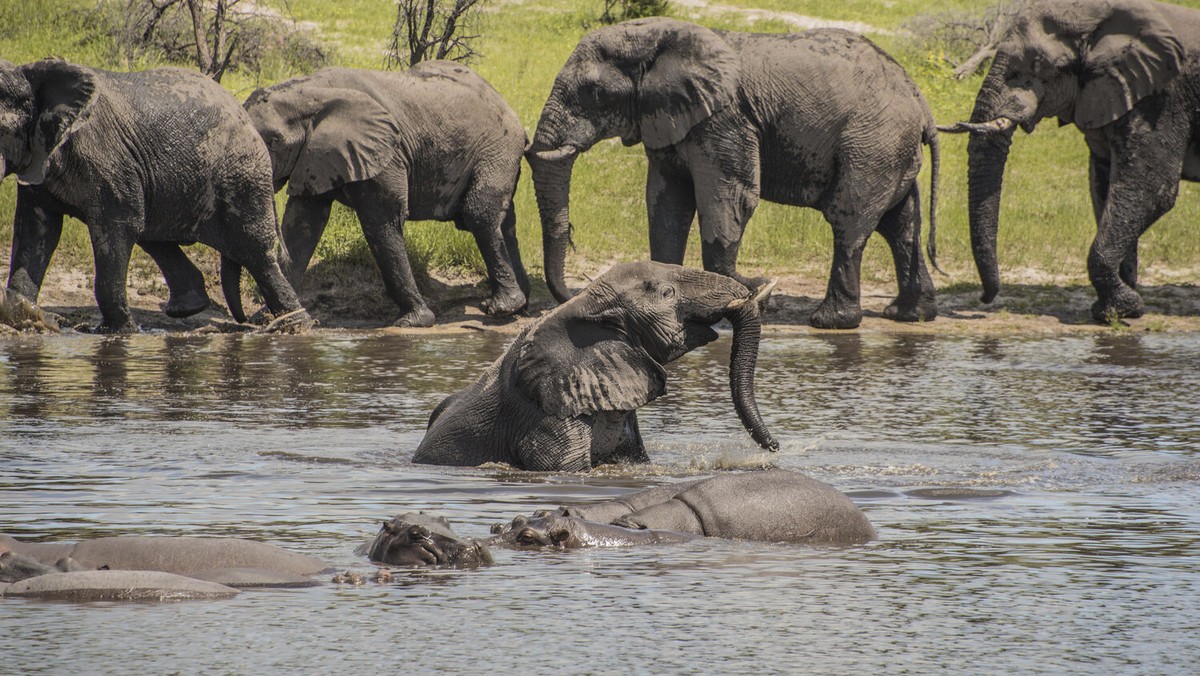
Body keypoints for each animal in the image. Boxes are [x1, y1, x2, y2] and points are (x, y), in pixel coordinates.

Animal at [0, 59, 309, 333]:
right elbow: (36, 232)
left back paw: (295, 326)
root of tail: (244, 115)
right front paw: (23, 318)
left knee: (256, 253)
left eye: (2, 131)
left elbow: (117, 227)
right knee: (155, 238)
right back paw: (188, 308)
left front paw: (117, 332)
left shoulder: (109, 163)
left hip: (243, 176)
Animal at [242, 61, 529, 327]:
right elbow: (301, 227)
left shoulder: (386, 152)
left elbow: (381, 223)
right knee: (505, 222)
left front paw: (414, 322)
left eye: (274, 142)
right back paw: (522, 307)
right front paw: (271, 320)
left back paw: (503, 307)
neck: (311, 91)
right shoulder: (313, 157)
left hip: (498, 148)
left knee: (478, 214)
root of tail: (505, 103)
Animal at [527, 17, 941, 330]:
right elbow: (667, 202)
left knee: (849, 220)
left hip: (873, 145)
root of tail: (921, 101)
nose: (569, 296)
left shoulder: (725, 118)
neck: (663, 38)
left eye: (593, 93)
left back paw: (830, 322)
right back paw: (909, 315)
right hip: (891, 150)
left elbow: (729, 197)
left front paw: (740, 294)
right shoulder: (666, 119)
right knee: (901, 224)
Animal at [940, 0, 1200, 322]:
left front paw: (1123, 309)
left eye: (1037, 67)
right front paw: (1116, 309)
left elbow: (1153, 189)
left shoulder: (1163, 101)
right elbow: (1104, 188)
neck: (1101, 18)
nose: (984, 298)